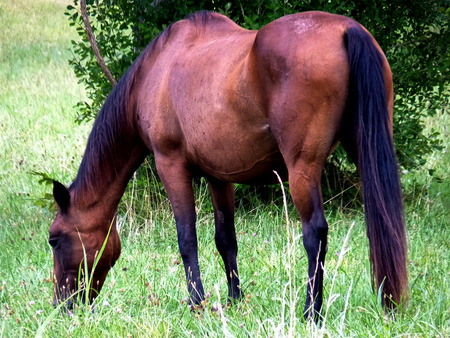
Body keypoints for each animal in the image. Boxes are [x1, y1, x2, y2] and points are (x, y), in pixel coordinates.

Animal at [49, 10, 408, 320]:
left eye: (54, 240)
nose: (61, 305)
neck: (156, 71)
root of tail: (347, 29)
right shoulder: (218, 176)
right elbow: (226, 240)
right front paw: (235, 300)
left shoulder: (171, 165)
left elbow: (186, 239)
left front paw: (196, 303)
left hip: (302, 170)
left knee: (315, 233)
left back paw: (311, 312)